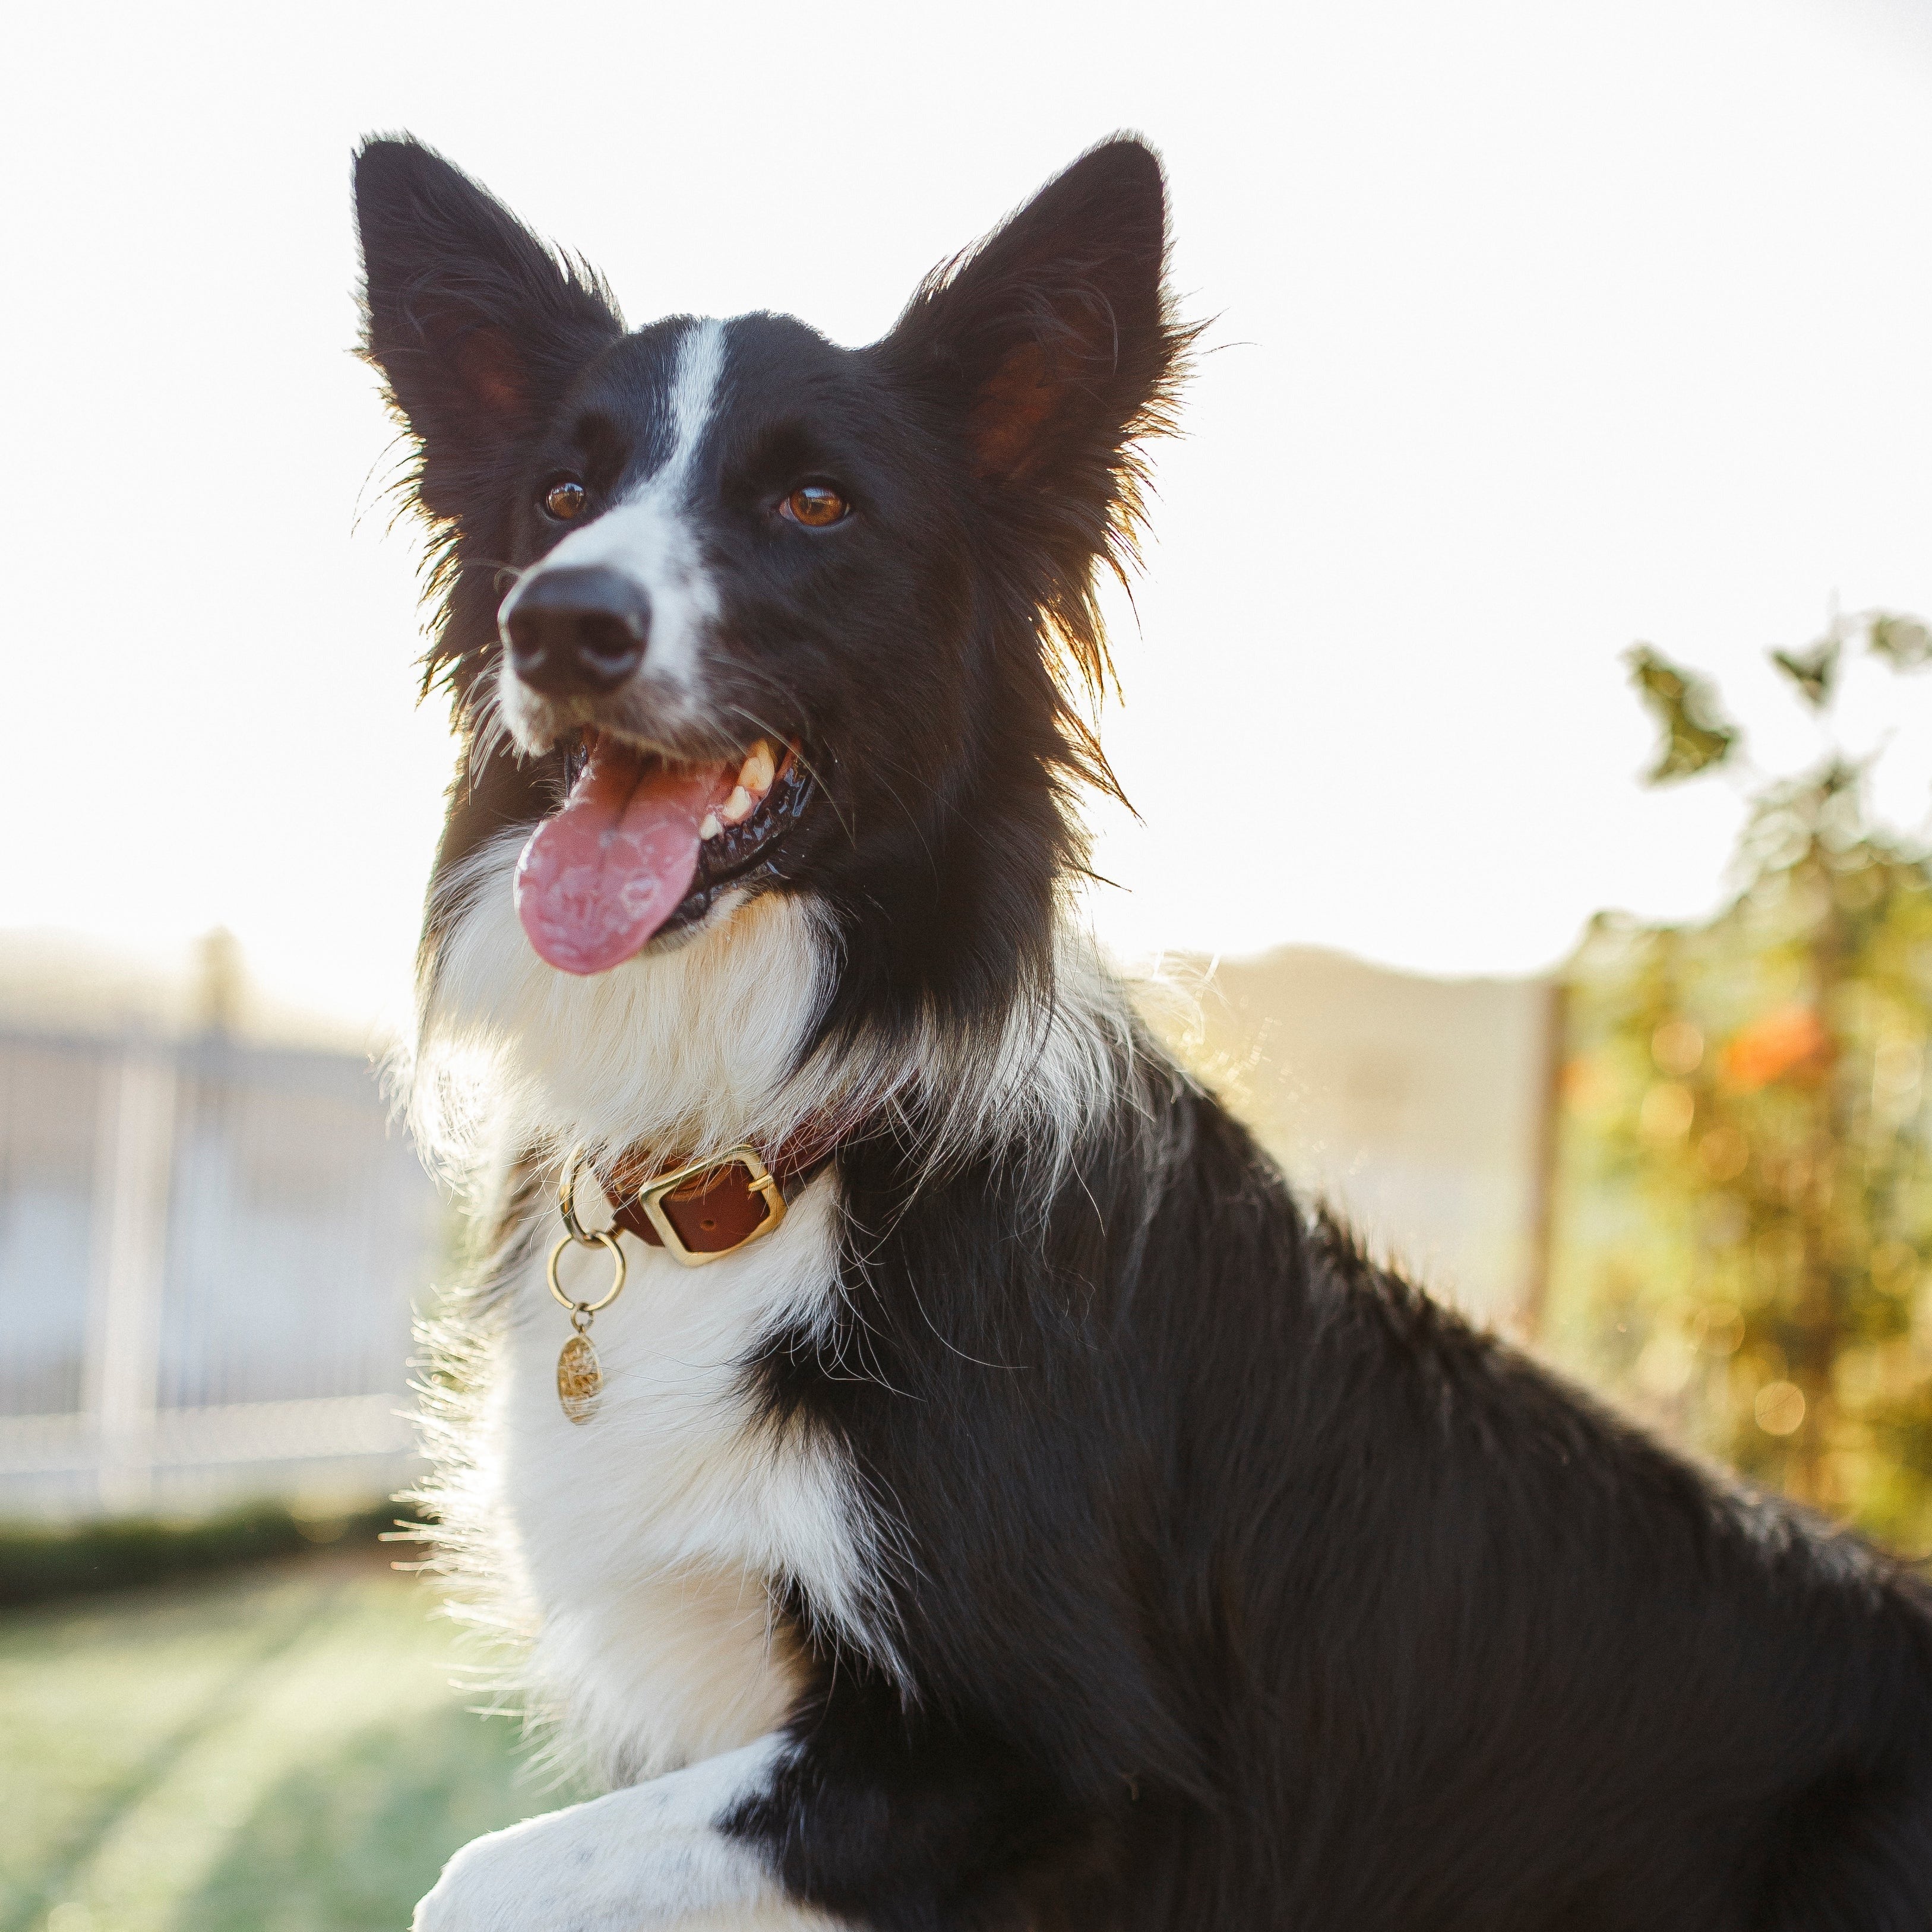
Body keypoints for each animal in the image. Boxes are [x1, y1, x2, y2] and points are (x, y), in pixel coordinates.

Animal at [355, 140, 1932, 1932]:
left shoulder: (1061, 1755)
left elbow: (475, 1873)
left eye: (814, 504)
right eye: (561, 495)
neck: (760, 1138)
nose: (559, 622)